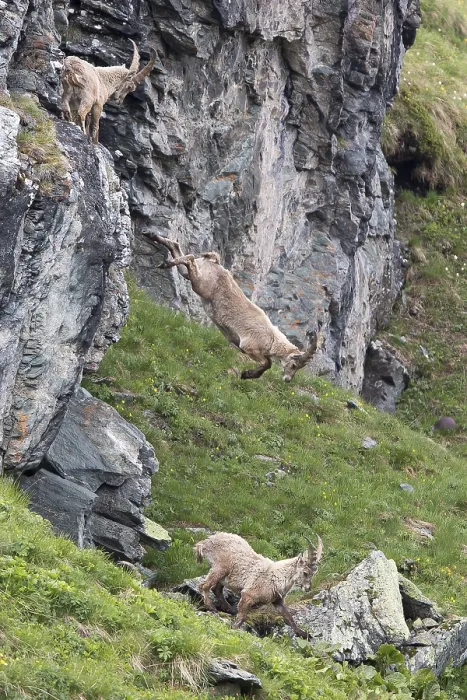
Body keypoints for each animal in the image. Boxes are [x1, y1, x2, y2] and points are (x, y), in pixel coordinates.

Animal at [147, 233, 323, 381]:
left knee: (179, 250)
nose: (288, 380)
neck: (272, 340)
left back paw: (153, 237)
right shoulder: (249, 346)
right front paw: (247, 374)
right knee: (189, 258)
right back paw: (165, 262)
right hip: (201, 285)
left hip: (194, 274)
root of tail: (216, 263)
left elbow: (268, 363)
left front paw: (247, 374)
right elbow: (268, 363)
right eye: (294, 365)